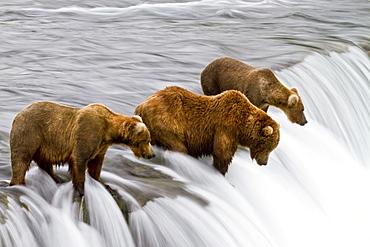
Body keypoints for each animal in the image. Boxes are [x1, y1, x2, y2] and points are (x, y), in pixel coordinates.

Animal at [9, 101, 155, 196]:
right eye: (147, 140)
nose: (152, 155)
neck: (108, 132)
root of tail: (17, 116)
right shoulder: (88, 132)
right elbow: (79, 159)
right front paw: (82, 189)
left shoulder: (101, 147)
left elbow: (96, 165)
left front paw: (105, 186)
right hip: (30, 132)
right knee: (21, 160)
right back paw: (20, 185)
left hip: (44, 144)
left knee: (44, 162)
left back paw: (58, 179)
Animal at [134, 86, 278, 175]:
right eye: (267, 147)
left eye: (272, 148)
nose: (264, 162)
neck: (242, 125)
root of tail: (141, 105)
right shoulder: (226, 127)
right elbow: (222, 153)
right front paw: (220, 172)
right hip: (167, 123)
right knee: (178, 147)